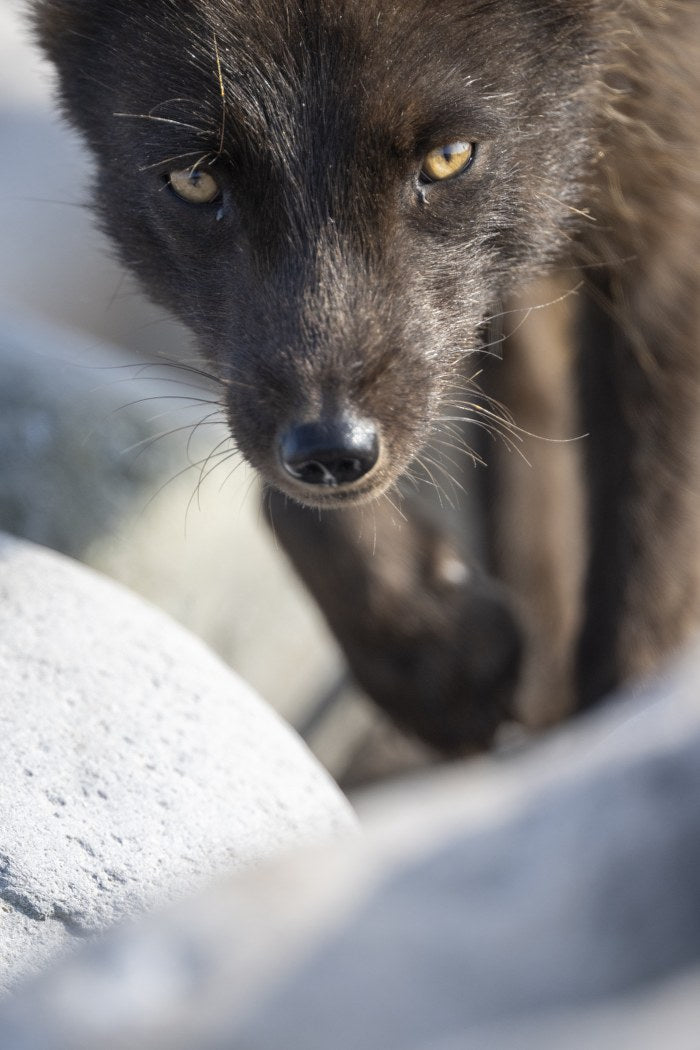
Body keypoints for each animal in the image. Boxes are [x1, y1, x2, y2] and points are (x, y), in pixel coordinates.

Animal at [33, 0, 700, 753]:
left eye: (448, 158)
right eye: (195, 181)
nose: (332, 451)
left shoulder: (666, 236)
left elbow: (645, 567)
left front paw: (605, 736)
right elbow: (294, 503)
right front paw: (444, 660)